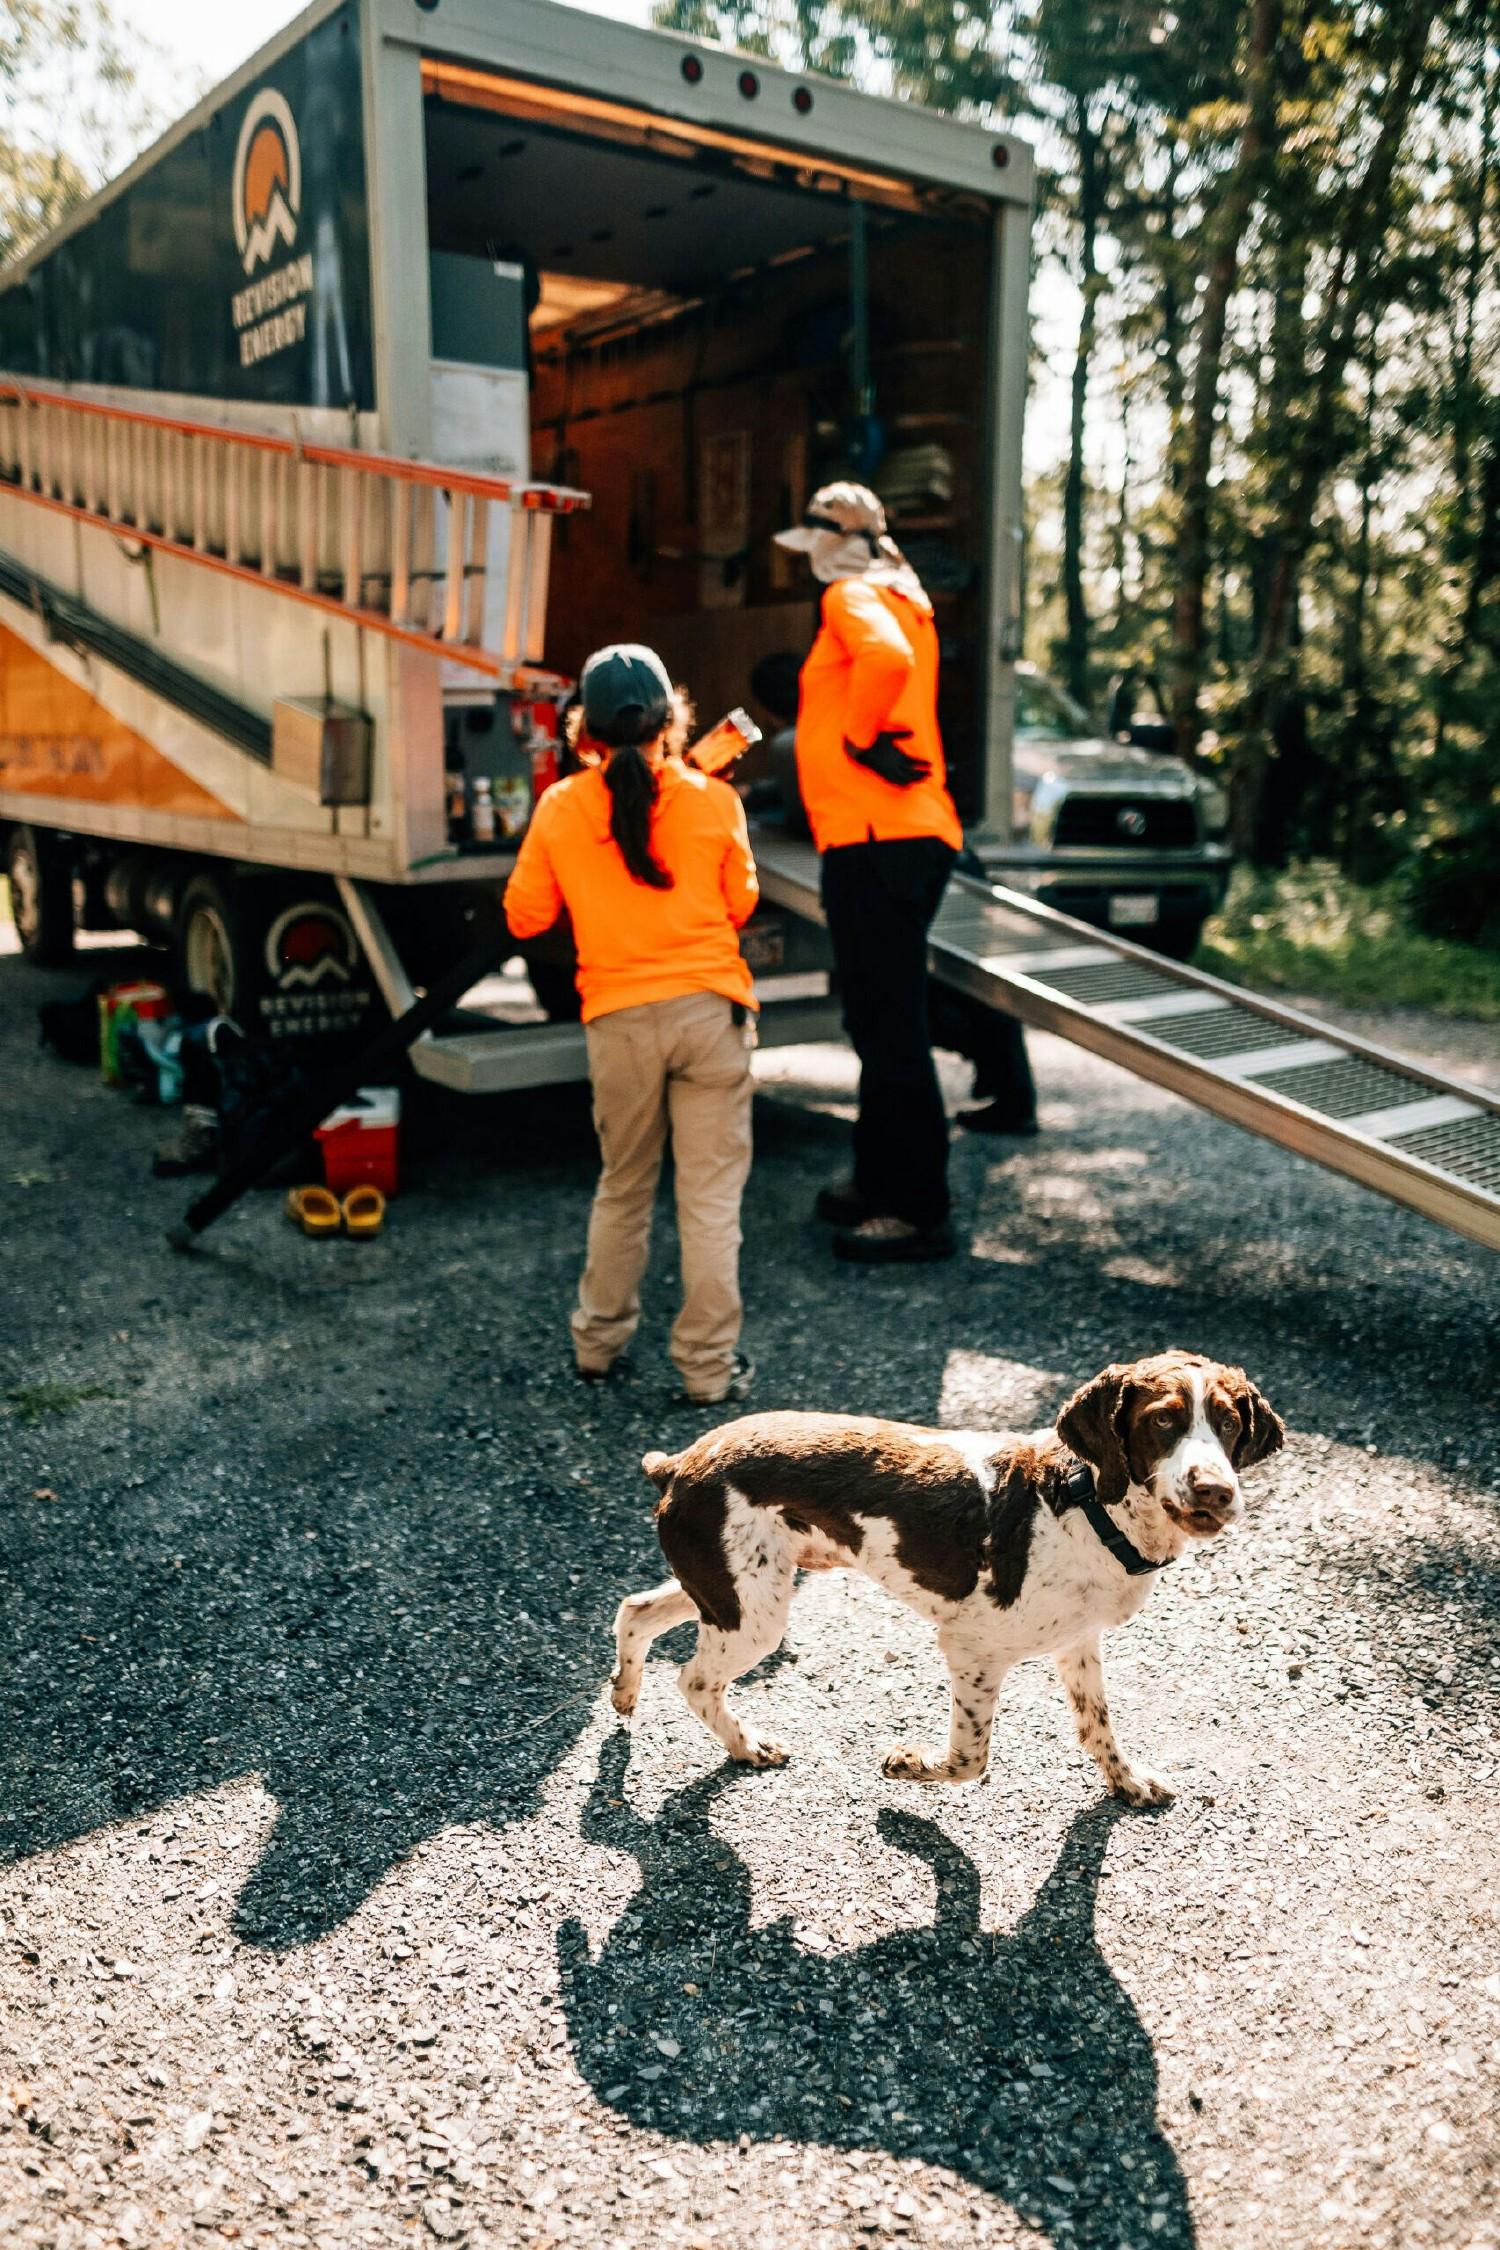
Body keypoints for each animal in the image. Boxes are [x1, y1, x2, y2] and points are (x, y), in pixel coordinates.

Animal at [611, 1350, 1295, 1809]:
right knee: (695, 1679)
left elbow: (1097, 1727)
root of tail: (678, 1463)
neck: (1088, 1505)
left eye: (1228, 1424)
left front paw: (1127, 1783)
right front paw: (906, 1764)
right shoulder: (973, 1650)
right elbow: (969, 1761)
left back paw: (624, 1695)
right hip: (752, 1613)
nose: (1214, 1490)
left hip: (728, 1587)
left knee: (635, 1608)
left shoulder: (1077, 1643)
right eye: (1161, 1422)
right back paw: (745, 1746)